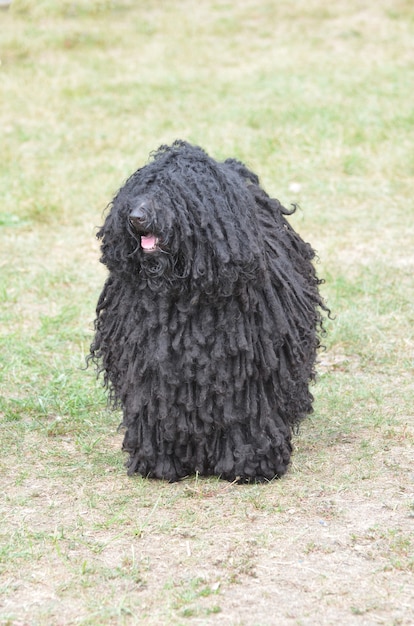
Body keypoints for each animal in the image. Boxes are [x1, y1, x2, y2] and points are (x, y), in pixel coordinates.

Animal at [90, 140, 326, 482]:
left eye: (174, 189)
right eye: (141, 187)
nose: (136, 216)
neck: (184, 294)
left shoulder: (248, 368)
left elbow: (248, 412)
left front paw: (252, 463)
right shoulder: (149, 362)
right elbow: (154, 406)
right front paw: (160, 462)